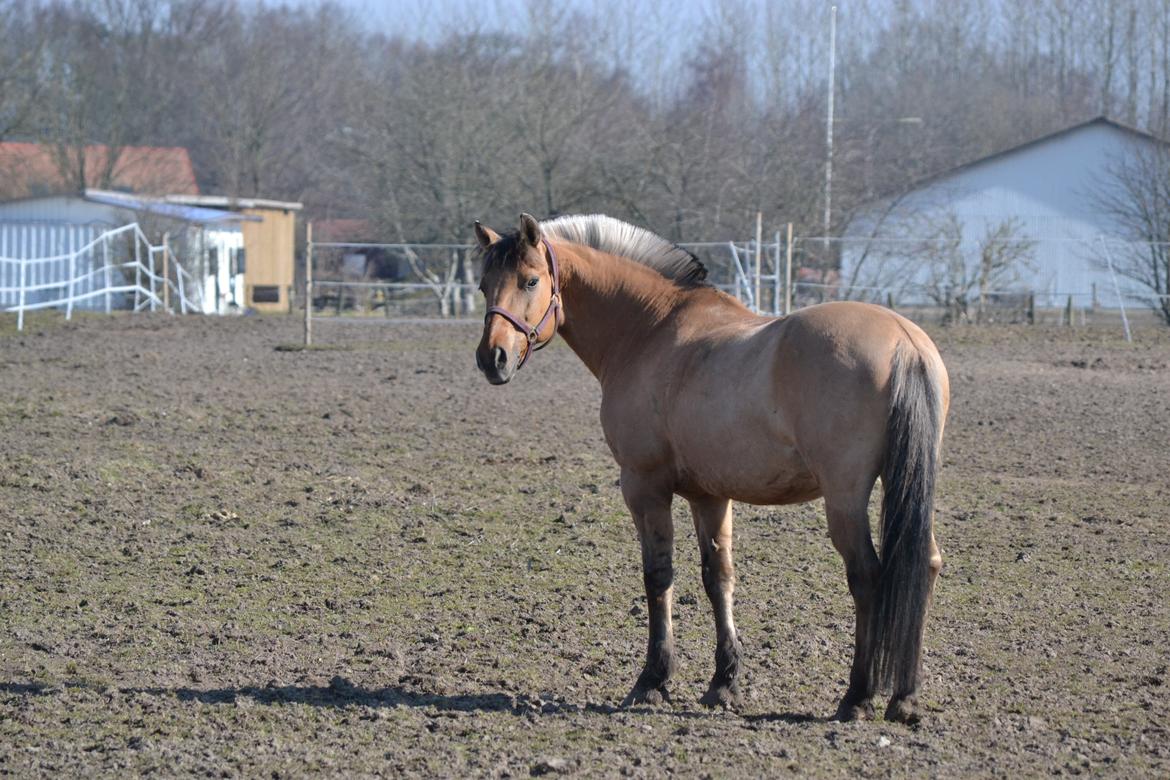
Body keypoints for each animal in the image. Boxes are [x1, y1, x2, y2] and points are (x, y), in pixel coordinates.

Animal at [470, 215, 945, 725]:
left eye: (530, 281)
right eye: (483, 285)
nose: (491, 358)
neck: (649, 330)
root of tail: (903, 341)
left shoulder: (644, 486)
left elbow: (658, 575)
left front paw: (653, 680)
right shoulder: (710, 495)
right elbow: (719, 578)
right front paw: (724, 682)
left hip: (845, 499)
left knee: (868, 576)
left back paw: (857, 696)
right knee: (925, 564)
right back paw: (905, 695)